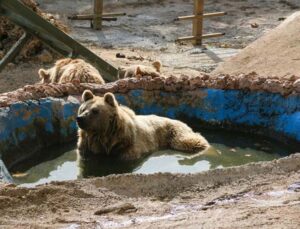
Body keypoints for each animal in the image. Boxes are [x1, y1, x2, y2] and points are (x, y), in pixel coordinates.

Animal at [76, 90, 210, 160]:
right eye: (82, 109)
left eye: (95, 111)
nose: (80, 118)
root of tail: (183, 122)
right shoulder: (87, 147)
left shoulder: (128, 148)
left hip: (174, 132)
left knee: (191, 141)